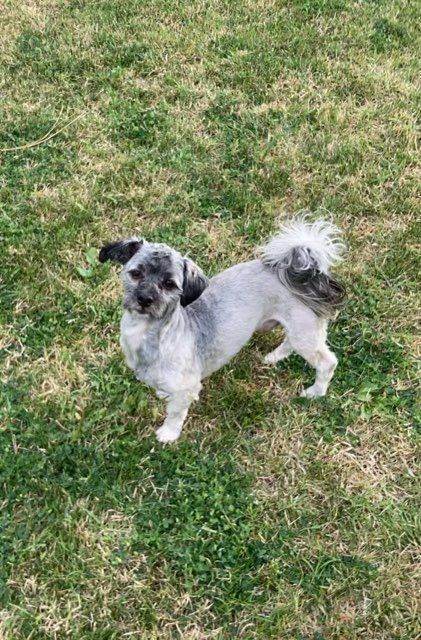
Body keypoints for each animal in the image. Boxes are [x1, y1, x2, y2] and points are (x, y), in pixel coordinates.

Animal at [99, 218, 344, 442]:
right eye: (136, 273)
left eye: (169, 284)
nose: (144, 299)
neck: (153, 334)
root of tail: (297, 272)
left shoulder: (187, 388)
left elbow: (175, 413)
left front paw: (168, 434)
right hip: (298, 329)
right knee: (289, 342)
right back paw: (274, 357)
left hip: (304, 332)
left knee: (327, 362)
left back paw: (316, 392)